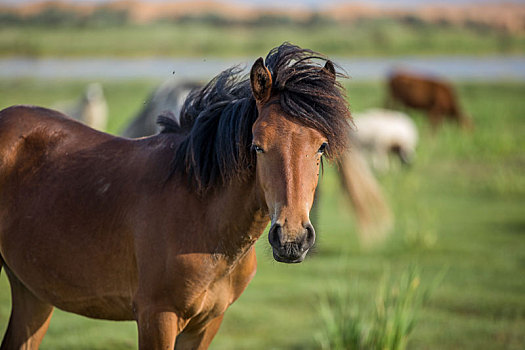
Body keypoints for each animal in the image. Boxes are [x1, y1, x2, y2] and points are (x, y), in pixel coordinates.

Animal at [1, 44, 352, 350]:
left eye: (321, 147)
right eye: (257, 146)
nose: (292, 239)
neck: (201, 214)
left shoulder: (206, 324)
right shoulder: (157, 317)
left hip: (33, 294)